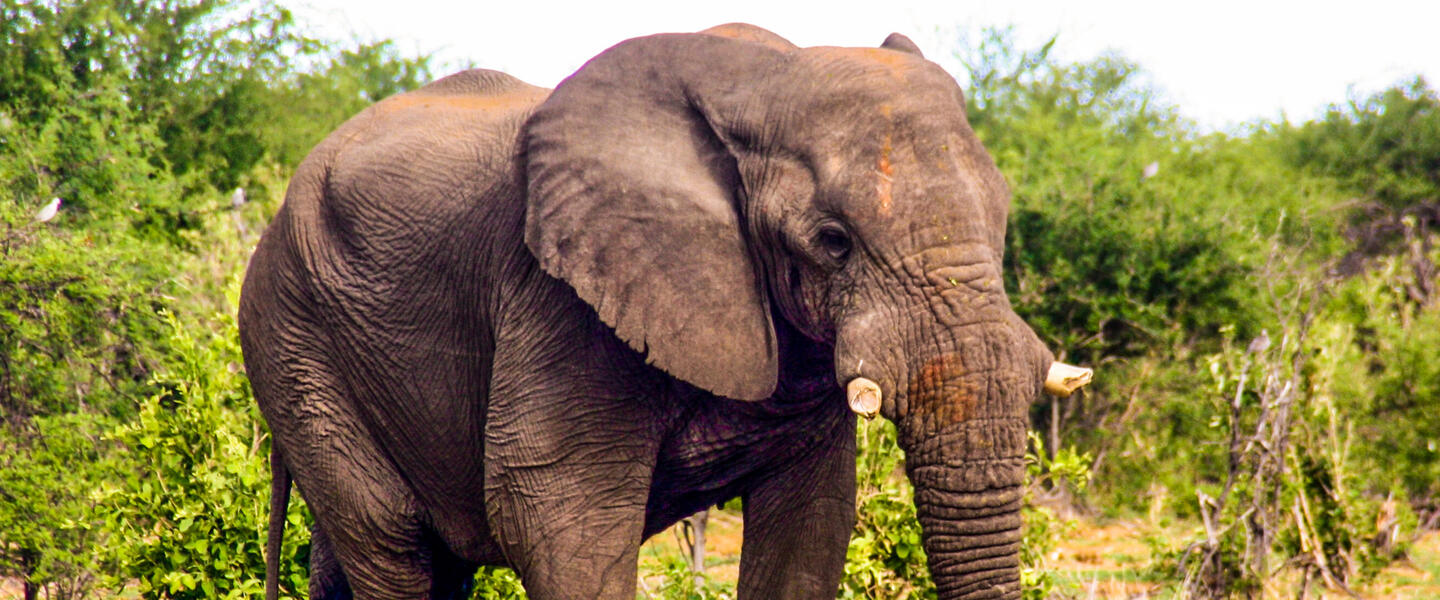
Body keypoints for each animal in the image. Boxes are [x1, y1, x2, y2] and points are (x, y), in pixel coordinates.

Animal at [236, 21, 1082, 595]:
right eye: (833, 241)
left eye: (1004, 214)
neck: (766, 76)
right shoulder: (558, 297)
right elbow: (554, 512)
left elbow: (811, 524)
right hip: (290, 335)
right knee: (393, 541)